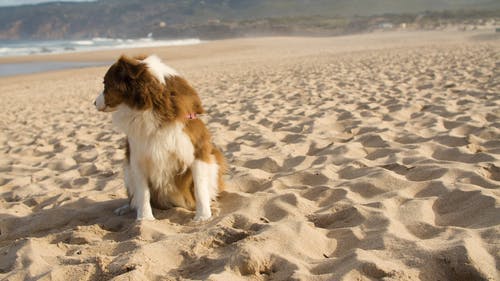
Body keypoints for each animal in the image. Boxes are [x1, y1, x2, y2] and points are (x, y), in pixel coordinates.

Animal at [94, 54, 227, 221]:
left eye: (106, 83)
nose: (94, 103)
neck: (150, 106)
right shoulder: (137, 157)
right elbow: (142, 192)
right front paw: (144, 219)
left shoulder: (197, 152)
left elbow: (200, 188)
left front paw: (203, 216)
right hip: (127, 169)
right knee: (133, 197)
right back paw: (126, 208)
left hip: (215, 159)